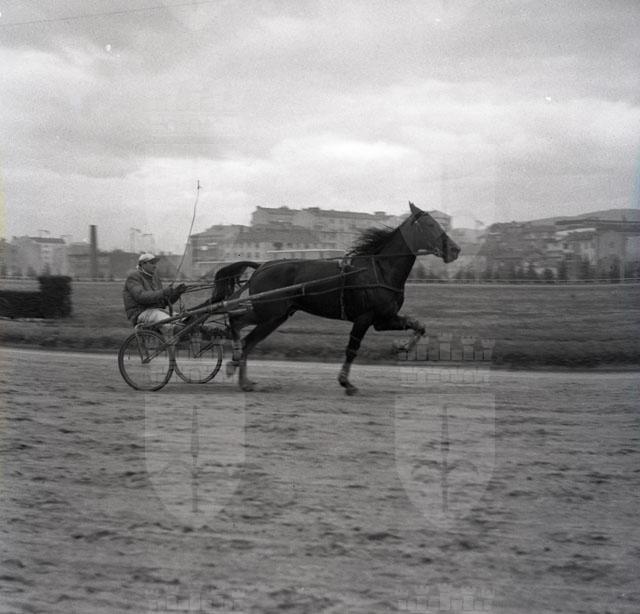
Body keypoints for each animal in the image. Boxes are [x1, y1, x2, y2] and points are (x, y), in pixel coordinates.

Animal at [212, 202, 460, 394]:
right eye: (431, 225)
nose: (455, 249)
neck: (378, 270)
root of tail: (262, 266)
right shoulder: (364, 318)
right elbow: (352, 349)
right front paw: (346, 382)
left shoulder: (383, 319)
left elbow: (419, 325)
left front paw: (401, 346)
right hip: (269, 312)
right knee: (239, 327)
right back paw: (236, 366)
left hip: (274, 315)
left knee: (244, 334)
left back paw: (242, 377)